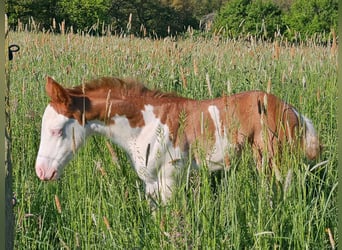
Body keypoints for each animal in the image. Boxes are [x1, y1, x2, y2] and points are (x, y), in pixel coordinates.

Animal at [35, 76, 320, 203]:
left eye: (57, 130)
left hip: (277, 160)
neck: (147, 124)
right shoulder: (150, 181)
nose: (42, 172)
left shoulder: (170, 178)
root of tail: (293, 111)